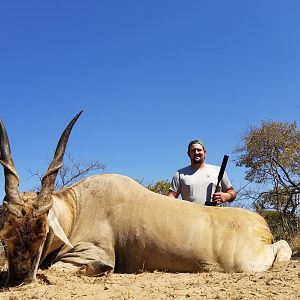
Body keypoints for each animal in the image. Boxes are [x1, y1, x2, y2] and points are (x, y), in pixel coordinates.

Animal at [0, 110, 292, 286]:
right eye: (5, 234)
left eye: (43, 232)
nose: (19, 279)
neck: (75, 209)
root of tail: (262, 225)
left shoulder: (93, 254)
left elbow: (65, 268)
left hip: (249, 262)